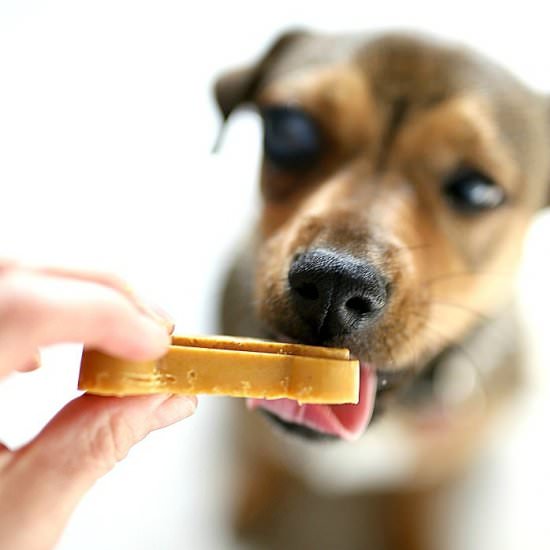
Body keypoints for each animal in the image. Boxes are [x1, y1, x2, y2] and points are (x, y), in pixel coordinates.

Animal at [213, 31, 548, 550]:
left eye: (476, 189)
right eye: (291, 132)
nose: (333, 281)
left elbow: (418, 495)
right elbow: (262, 458)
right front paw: (251, 502)